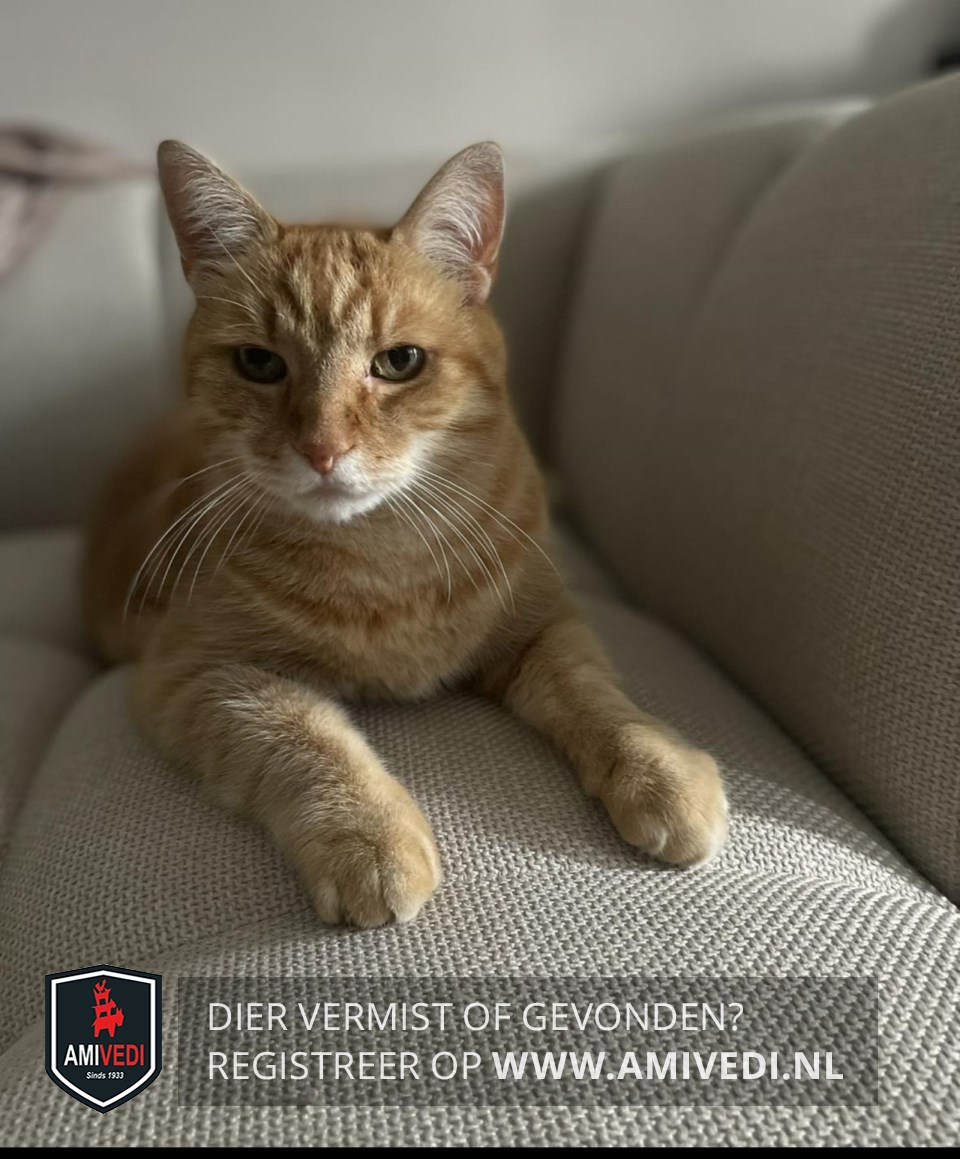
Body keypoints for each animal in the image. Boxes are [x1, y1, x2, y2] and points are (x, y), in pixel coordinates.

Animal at [83, 140, 728, 927]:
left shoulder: (544, 625)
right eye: (259, 363)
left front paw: (660, 768)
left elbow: (596, 696)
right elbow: (304, 735)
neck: (385, 559)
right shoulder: (193, 674)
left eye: (399, 362)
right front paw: (370, 835)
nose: (322, 449)